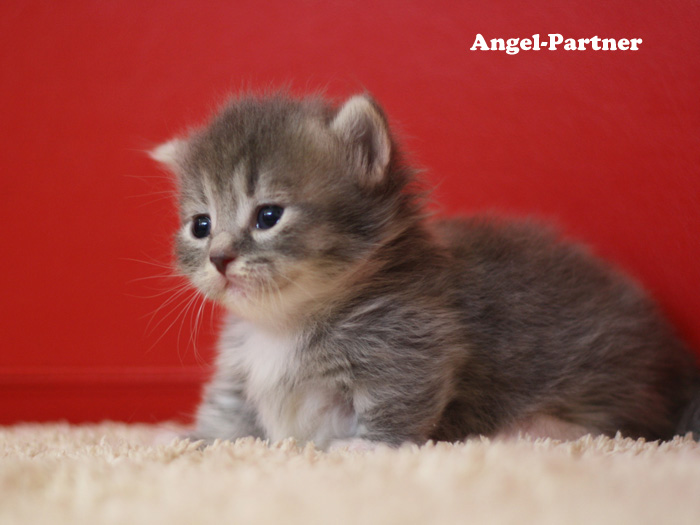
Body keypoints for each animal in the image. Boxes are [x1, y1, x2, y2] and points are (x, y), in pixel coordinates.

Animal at [152, 91, 700, 446]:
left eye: (268, 216)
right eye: (201, 225)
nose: (219, 258)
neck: (284, 323)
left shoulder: (411, 346)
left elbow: (393, 403)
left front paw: (363, 447)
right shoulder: (240, 369)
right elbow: (230, 413)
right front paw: (192, 438)